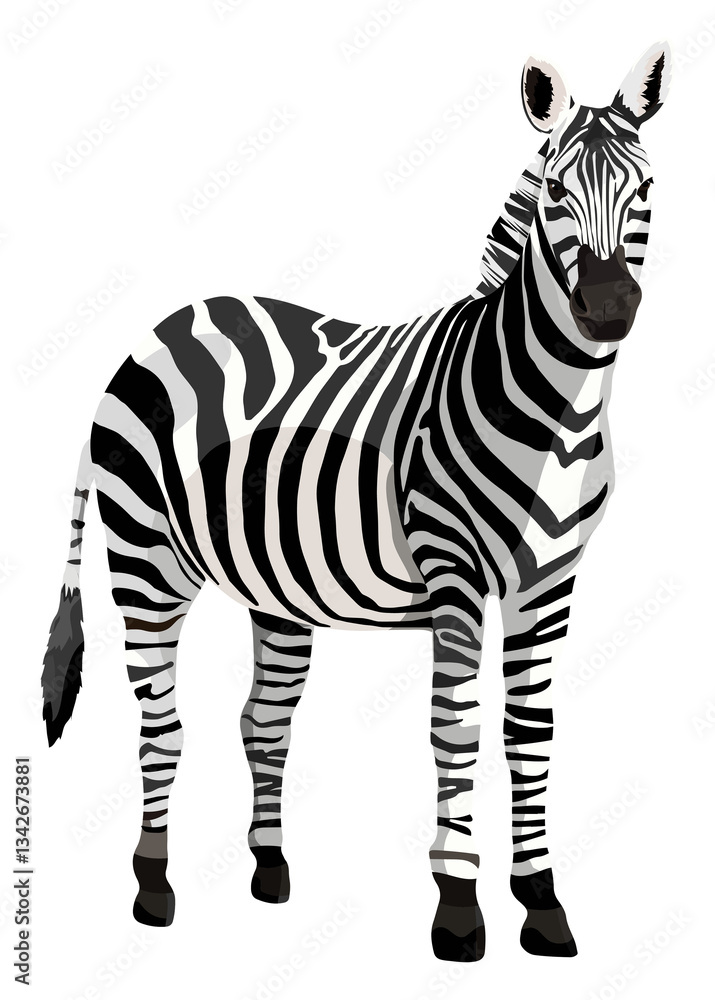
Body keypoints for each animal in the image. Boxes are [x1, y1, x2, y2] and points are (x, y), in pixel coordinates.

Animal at [42, 43, 670, 961]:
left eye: (645, 189)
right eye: (556, 193)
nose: (608, 309)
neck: (558, 405)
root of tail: (156, 332)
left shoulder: (547, 583)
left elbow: (530, 735)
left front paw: (542, 902)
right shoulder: (453, 573)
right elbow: (455, 727)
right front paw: (458, 908)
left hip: (271, 585)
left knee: (261, 721)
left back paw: (269, 871)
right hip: (145, 564)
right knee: (163, 725)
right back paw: (153, 889)